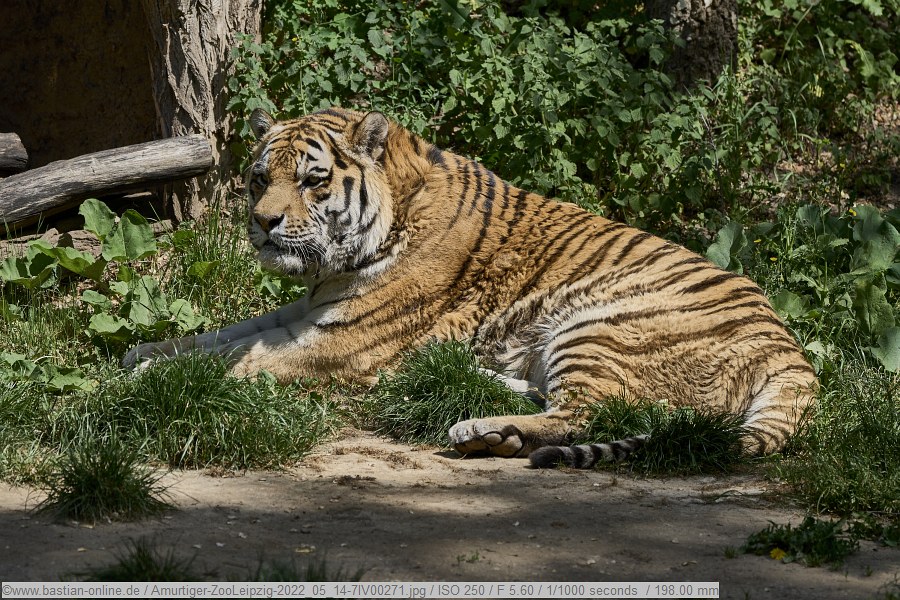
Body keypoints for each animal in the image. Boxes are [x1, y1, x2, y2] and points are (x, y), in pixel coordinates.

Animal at [123, 106, 817, 469]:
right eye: (260, 178)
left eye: (313, 180)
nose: (263, 224)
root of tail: (792, 353)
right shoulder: (306, 313)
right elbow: (219, 337)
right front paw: (140, 354)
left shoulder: (340, 345)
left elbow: (236, 366)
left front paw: (142, 380)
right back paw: (483, 411)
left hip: (598, 323)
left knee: (593, 409)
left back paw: (481, 429)